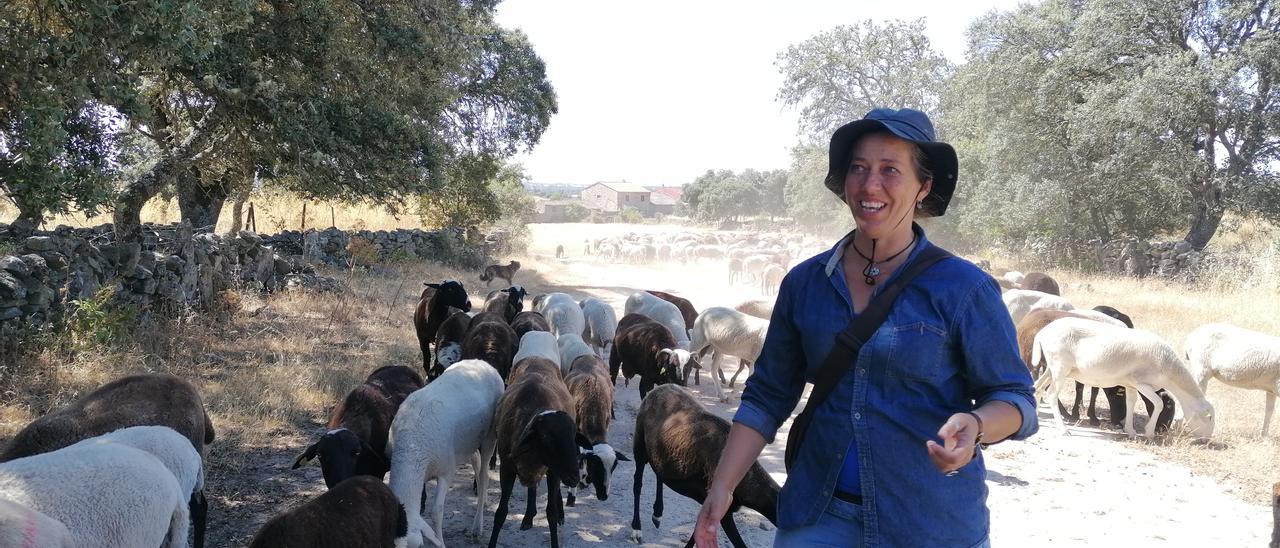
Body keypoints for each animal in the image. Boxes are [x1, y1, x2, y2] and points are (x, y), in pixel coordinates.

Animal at [488, 355, 581, 548]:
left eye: (573, 436)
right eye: (546, 437)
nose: (575, 476)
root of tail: (537, 357)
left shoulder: (553, 470)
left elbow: (551, 513)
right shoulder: (506, 469)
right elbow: (501, 513)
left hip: (555, 470)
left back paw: (559, 514)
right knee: (532, 487)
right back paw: (528, 517)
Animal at [1024, 318, 1213, 437]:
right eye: (1209, 418)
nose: (1207, 439)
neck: (1170, 370)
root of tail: (1042, 333)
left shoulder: (1130, 383)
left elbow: (1131, 402)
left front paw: (1130, 431)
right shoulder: (1141, 382)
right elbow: (1158, 403)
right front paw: (1149, 432)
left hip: (1052, 368)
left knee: (1038, 387)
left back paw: (1035, 419)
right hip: (1060, 367)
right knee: (1051, 395)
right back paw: (1063, 430)